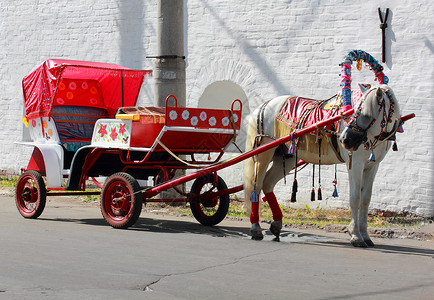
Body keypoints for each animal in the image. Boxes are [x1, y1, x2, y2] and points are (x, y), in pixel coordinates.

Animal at [242, 84, 402, 246]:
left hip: (286, 156)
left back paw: (276, 224)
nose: (345, 139)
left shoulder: (372, 166)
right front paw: (356, 235)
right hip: (265, 150)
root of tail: (264, 105)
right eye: (356, 111)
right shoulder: (355, 163)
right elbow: (355, 198)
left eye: (366, 114)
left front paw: (365, 235)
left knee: (268, 183)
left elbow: (366, 199)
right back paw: (255, 227)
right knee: (256, 185)